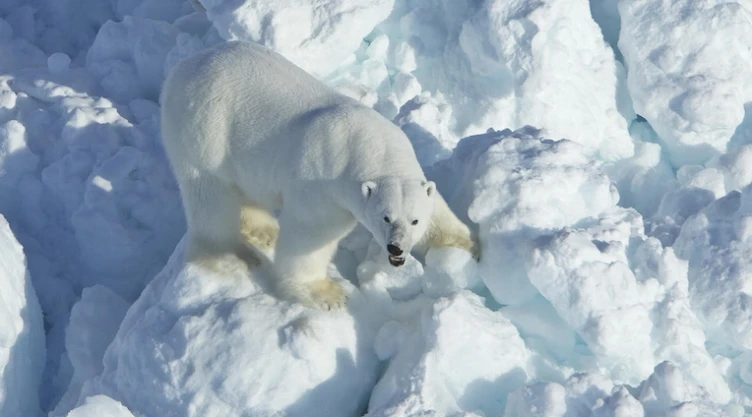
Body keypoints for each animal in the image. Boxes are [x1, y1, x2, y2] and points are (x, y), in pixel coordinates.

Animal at [160, 41, 480, 310]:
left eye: (414, 220)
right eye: (385, 217)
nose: (396, 247)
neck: (369, 145)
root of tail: (181, 68)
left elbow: (437, 210)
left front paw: (469, 246)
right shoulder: (324, 184)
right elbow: (310, 236)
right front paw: (326, 294)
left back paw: (264, 231)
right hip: (205, 129)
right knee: (210, 195)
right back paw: (232, 255)